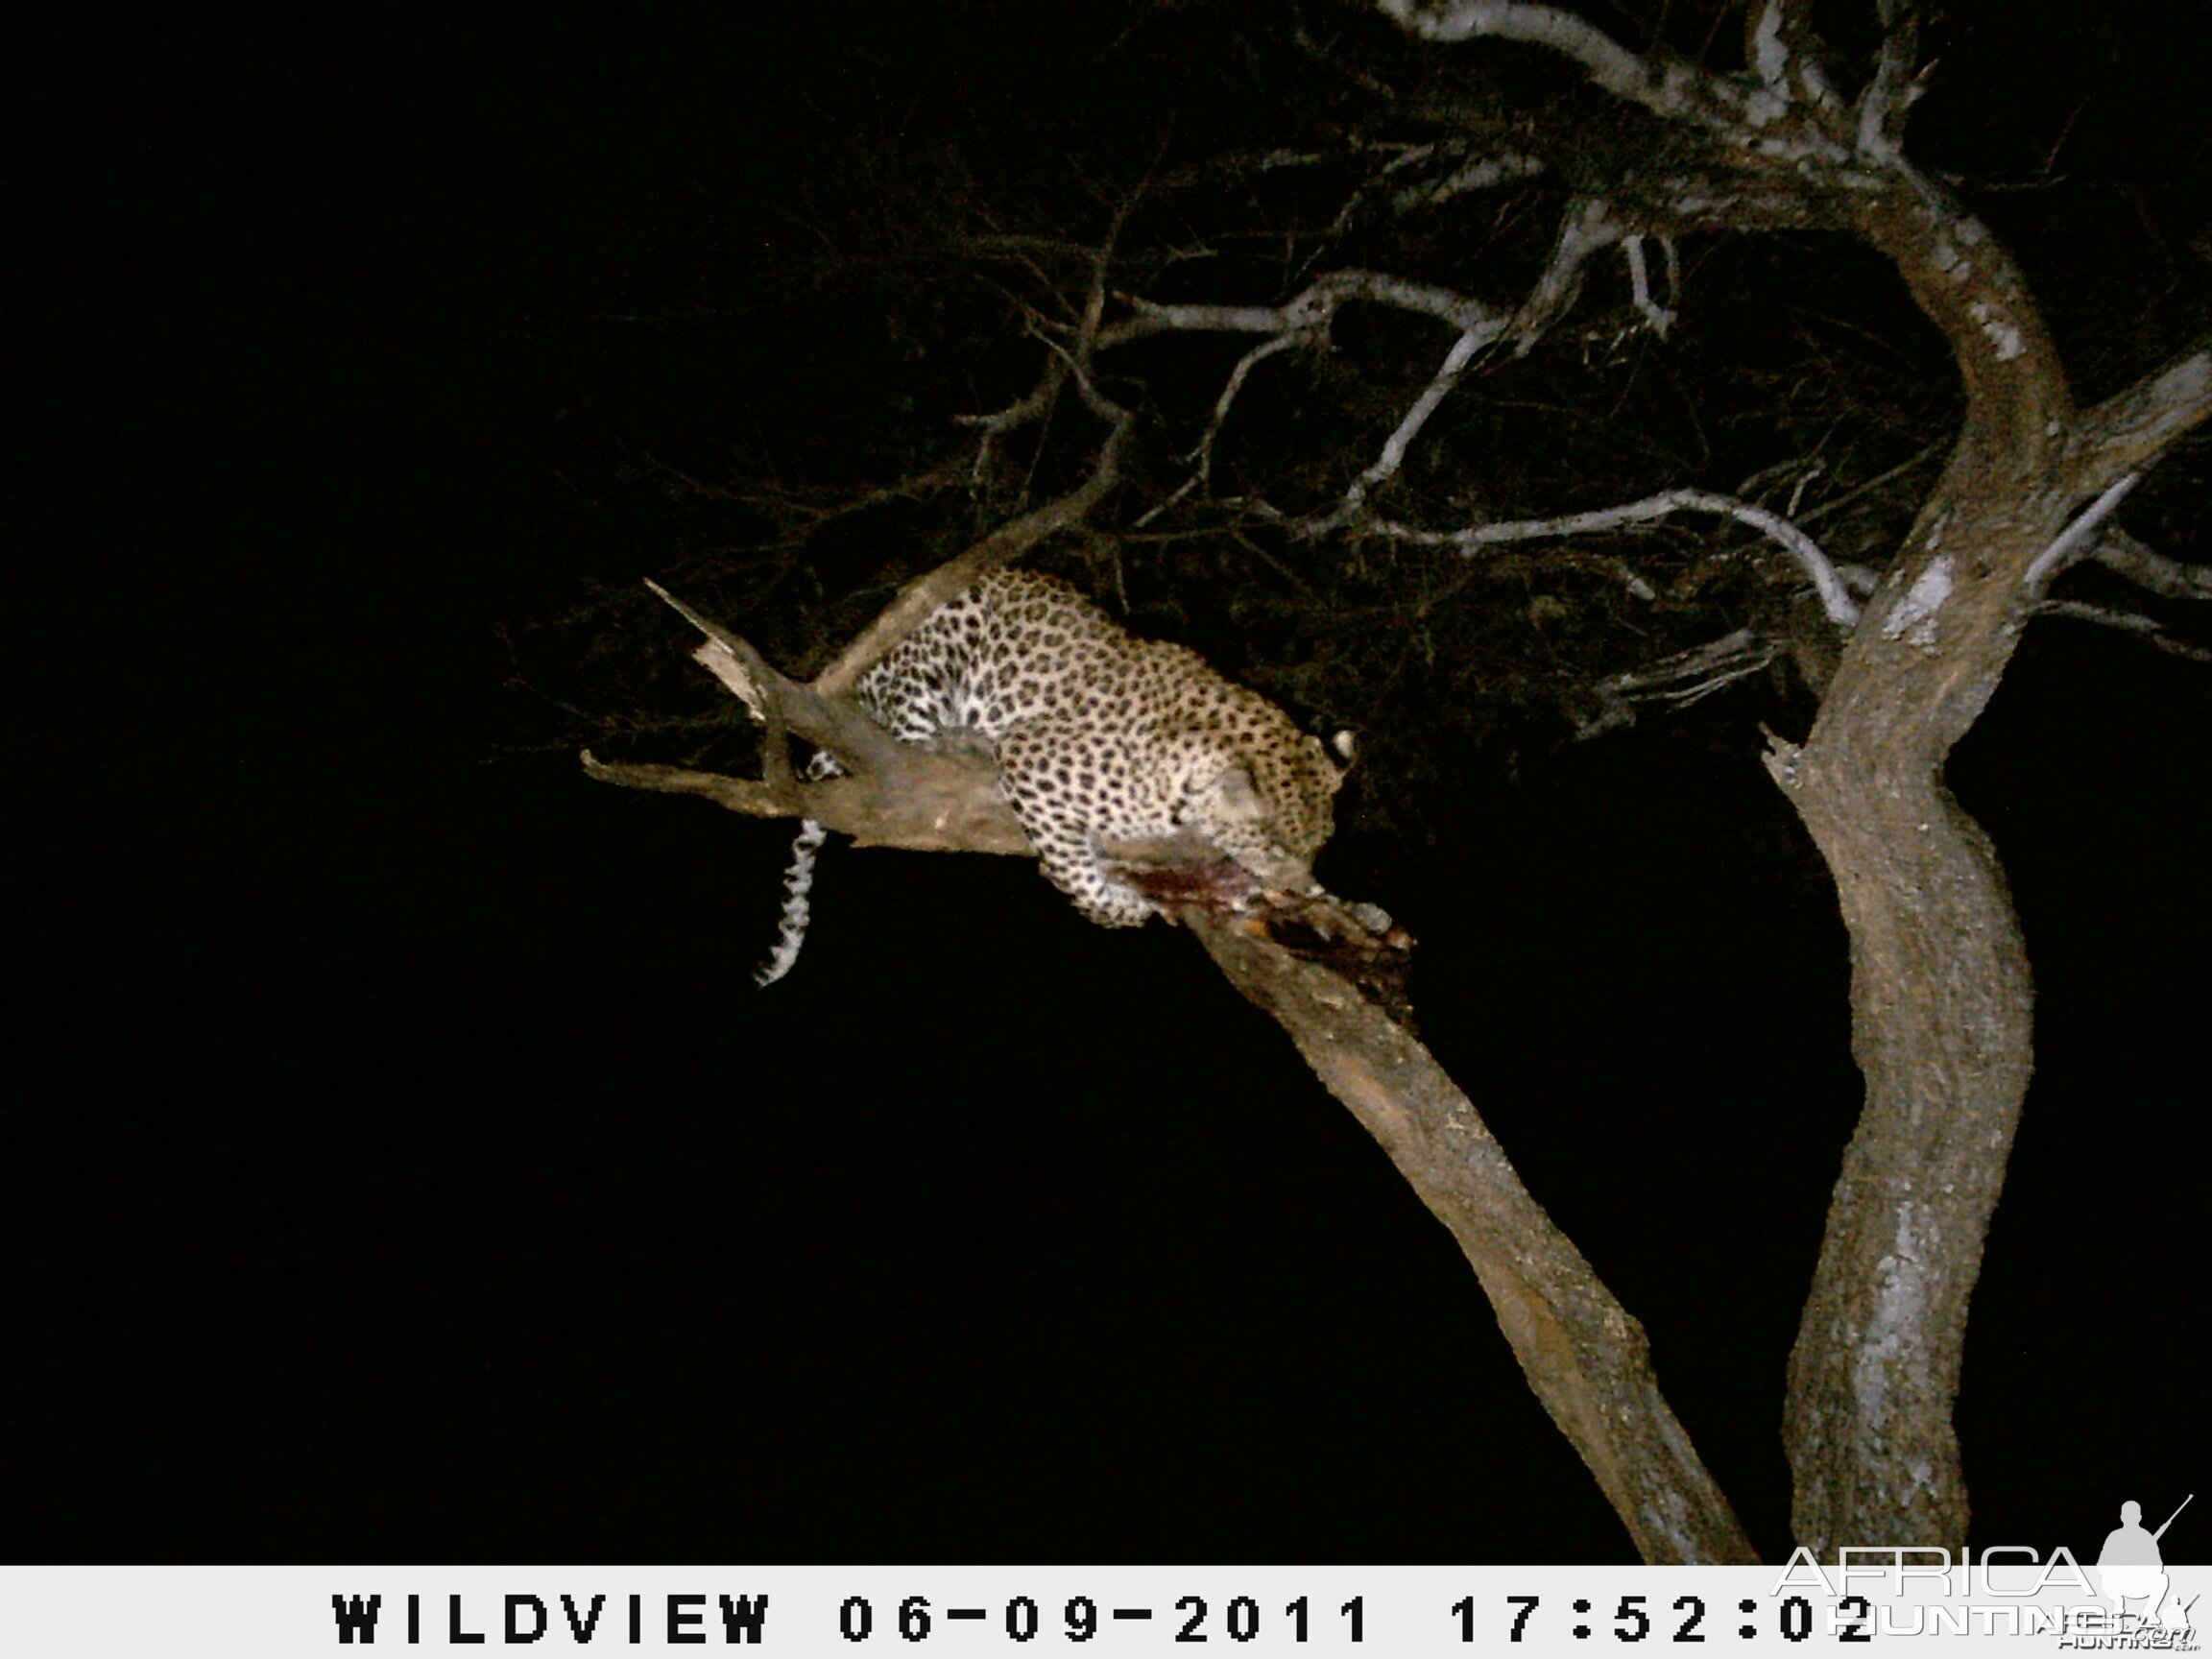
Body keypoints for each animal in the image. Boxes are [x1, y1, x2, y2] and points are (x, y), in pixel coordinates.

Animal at [756, 570, 1344, 986]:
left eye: (1323, 843)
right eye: (1272, 842)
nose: (1301, 890)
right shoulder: (1031, 760)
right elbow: (1071, 871)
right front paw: (1122, 907)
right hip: (936, 645)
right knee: (906, 734)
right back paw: (955, 742)